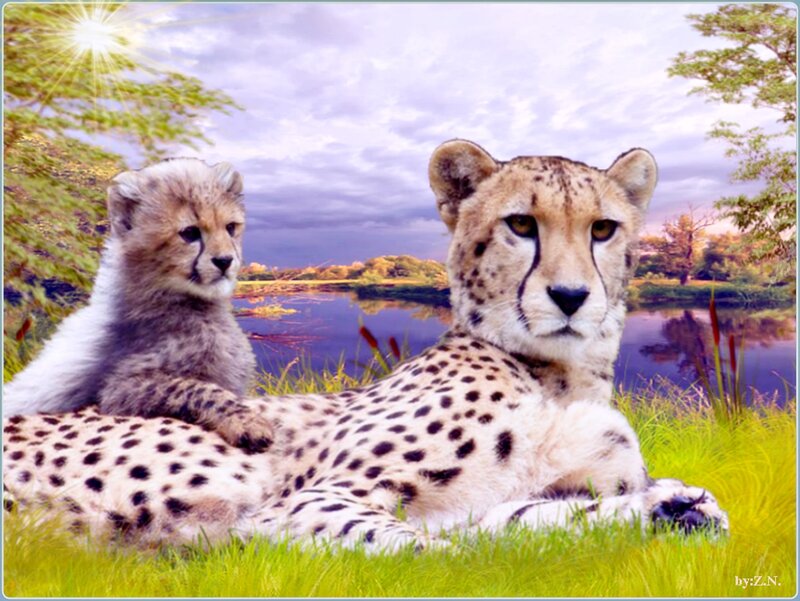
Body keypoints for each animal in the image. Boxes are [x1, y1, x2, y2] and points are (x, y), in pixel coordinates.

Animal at [3, 158, 273, 453]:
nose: (225, 261)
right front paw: (248, 423)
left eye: (231, 227)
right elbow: (197, 388)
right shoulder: (119, 391)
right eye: (190, 233)